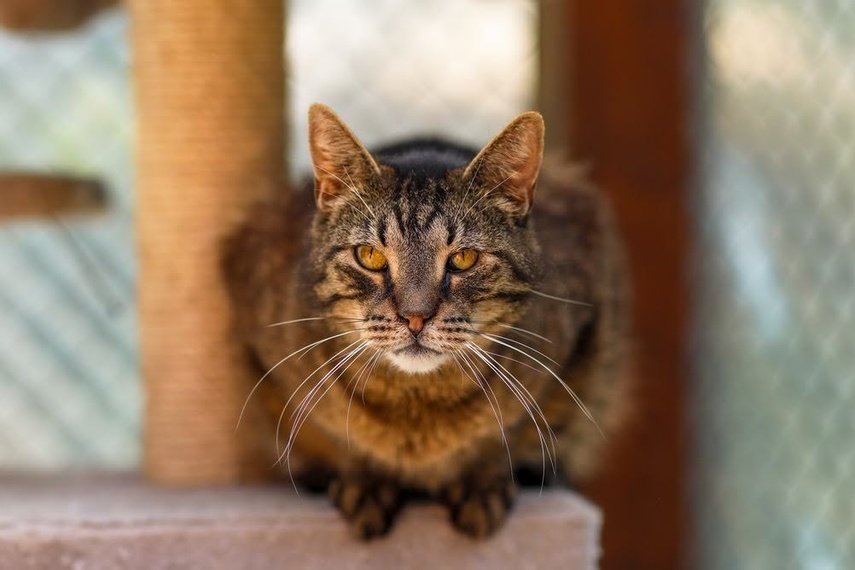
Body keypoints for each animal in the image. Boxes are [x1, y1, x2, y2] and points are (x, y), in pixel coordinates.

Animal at [224, 104, 632, 540]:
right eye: (370, 256)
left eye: (464, 259)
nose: (415, 316)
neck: (418, 411)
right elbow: (339, 436)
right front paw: (367, 480)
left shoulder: (585, 338)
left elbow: (508, 434)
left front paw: (481, 482)